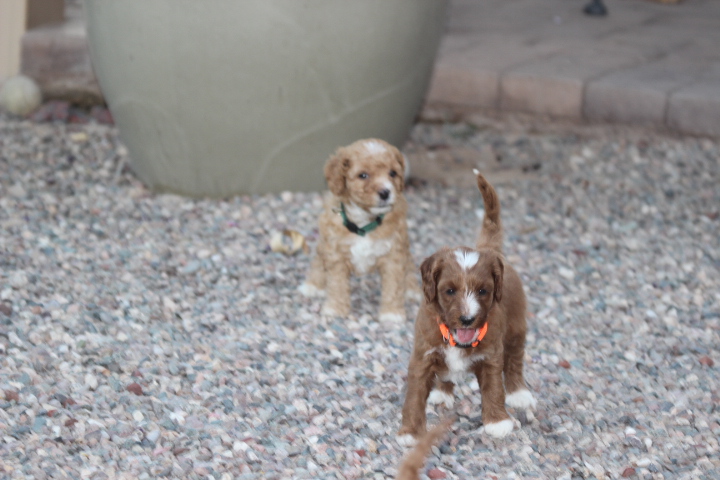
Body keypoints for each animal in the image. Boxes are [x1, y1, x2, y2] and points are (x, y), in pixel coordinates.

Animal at [300, 138, 422, 322]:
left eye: (392, 173)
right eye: (363, 175)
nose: (385, 192)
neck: (365, 222)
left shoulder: (394, 253)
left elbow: (393, 286)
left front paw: (392, 313)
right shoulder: (335, 252)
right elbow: (337, 283)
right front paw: (336, 308)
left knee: (408, 263)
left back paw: (412, 289)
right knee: (319, 260)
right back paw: (313, 285)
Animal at [396, 168, 536, 442]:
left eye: (483, 291)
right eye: (449, 291)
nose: (468, 320)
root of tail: (490, 248)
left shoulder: (492, 355)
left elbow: (494, 388)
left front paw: (497, 422)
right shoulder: (422, 356)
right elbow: (415, 396)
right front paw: (410, 432)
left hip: (516, 328)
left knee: (515, 360)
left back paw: (519, 393)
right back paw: (442, 392)